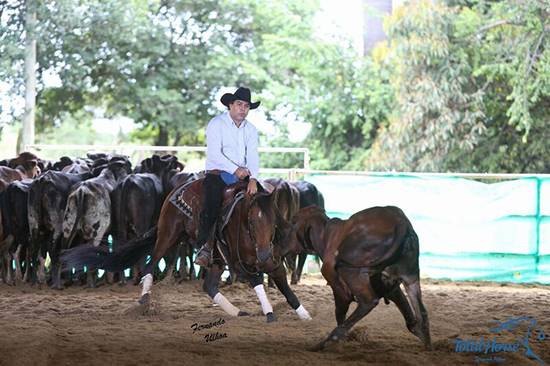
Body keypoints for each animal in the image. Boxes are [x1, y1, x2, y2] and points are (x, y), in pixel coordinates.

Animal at [61, 179, 312, 322]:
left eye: (273, 221)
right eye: (251, 221)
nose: (263, 254)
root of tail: (177, 189)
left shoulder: (272, 261)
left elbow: (284, 286)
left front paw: (304, 314)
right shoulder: (239, 265)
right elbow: (258, 281)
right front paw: (269, 313)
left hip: (216, 258)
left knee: (209, 286)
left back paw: (237, 312)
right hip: (168, 235)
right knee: (151, 265)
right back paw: (144, 300)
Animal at [284, 204, 436, 350]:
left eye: (293, 222)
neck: (326, 235)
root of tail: (401, 223)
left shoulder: (338, 286)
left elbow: (340, 313)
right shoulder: (390, 286)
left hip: (350, 270)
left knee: (368, 301)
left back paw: (325, 342)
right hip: (410, 278)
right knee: (422, 312)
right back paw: (427, 343)